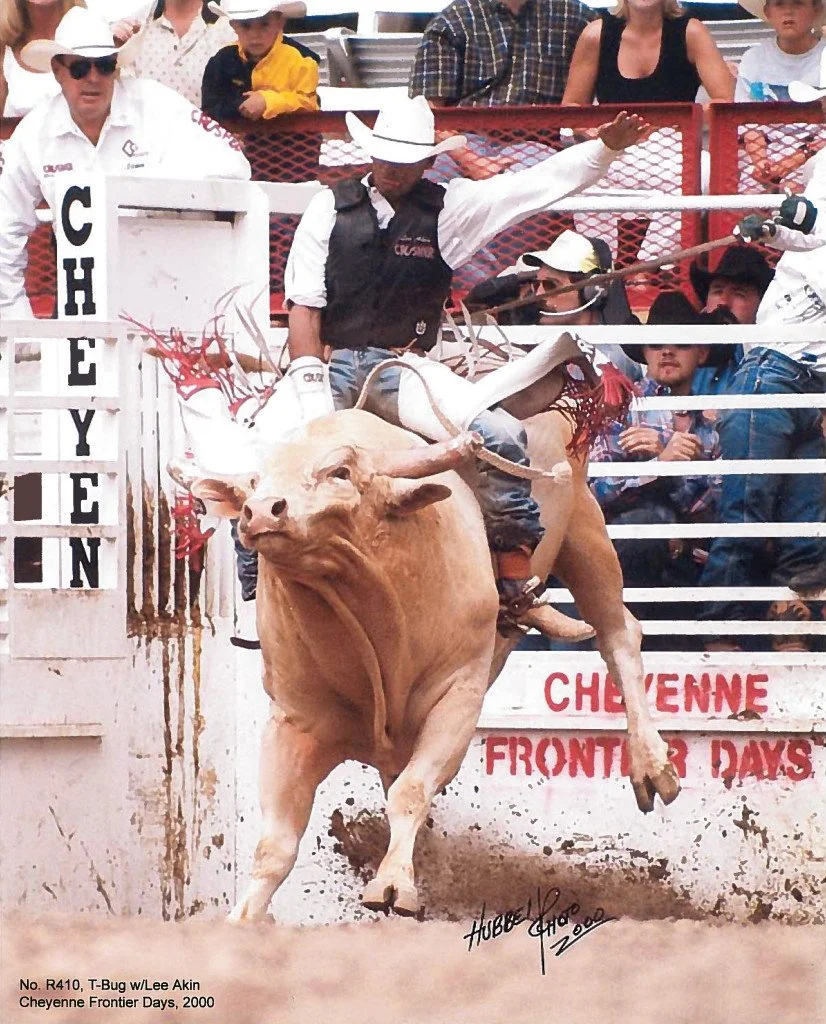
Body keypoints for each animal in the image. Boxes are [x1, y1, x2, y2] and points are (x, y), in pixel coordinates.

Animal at [183, 400, 680, 922]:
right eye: (254, 482)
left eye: (340, 471)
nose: (262, 511)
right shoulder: (294, 722)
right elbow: (275, 844)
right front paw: (244, 918)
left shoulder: (457, 698)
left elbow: (410, 791)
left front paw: (392, 884)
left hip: (585, 528)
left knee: (618, 635)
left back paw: (652, 767)